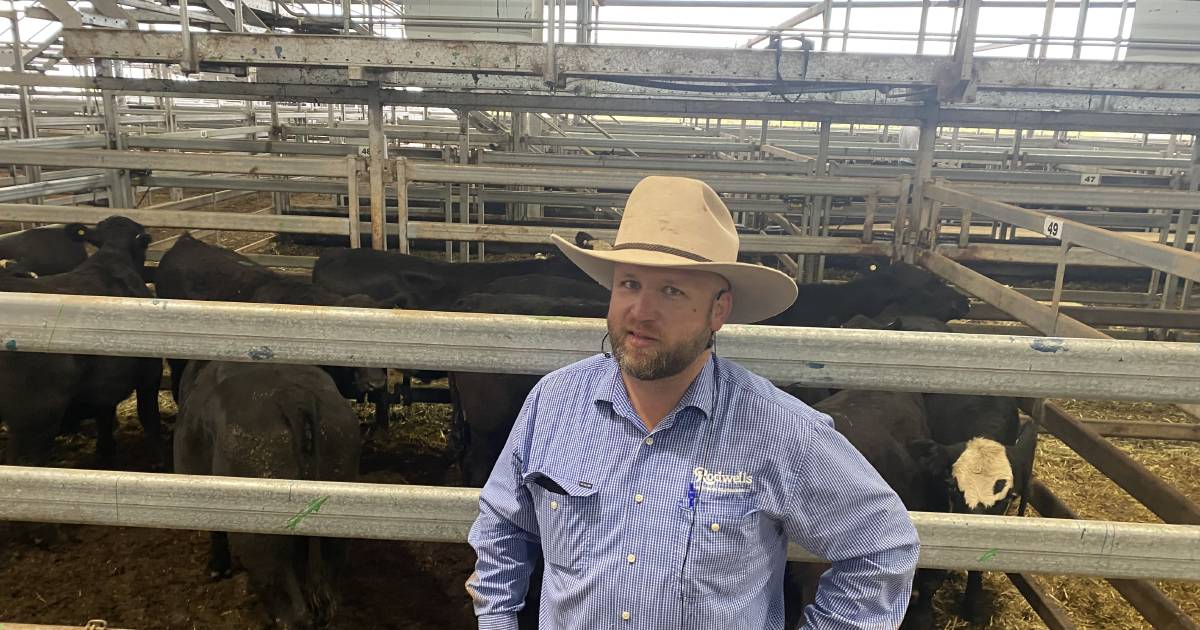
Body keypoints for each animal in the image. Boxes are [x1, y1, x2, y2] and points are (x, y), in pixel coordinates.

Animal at [0, 217, 162, 465]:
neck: (112, 257)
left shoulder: (105, 385)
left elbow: (105, 418)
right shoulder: (150, 373)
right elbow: (149, 417)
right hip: (33, 420)